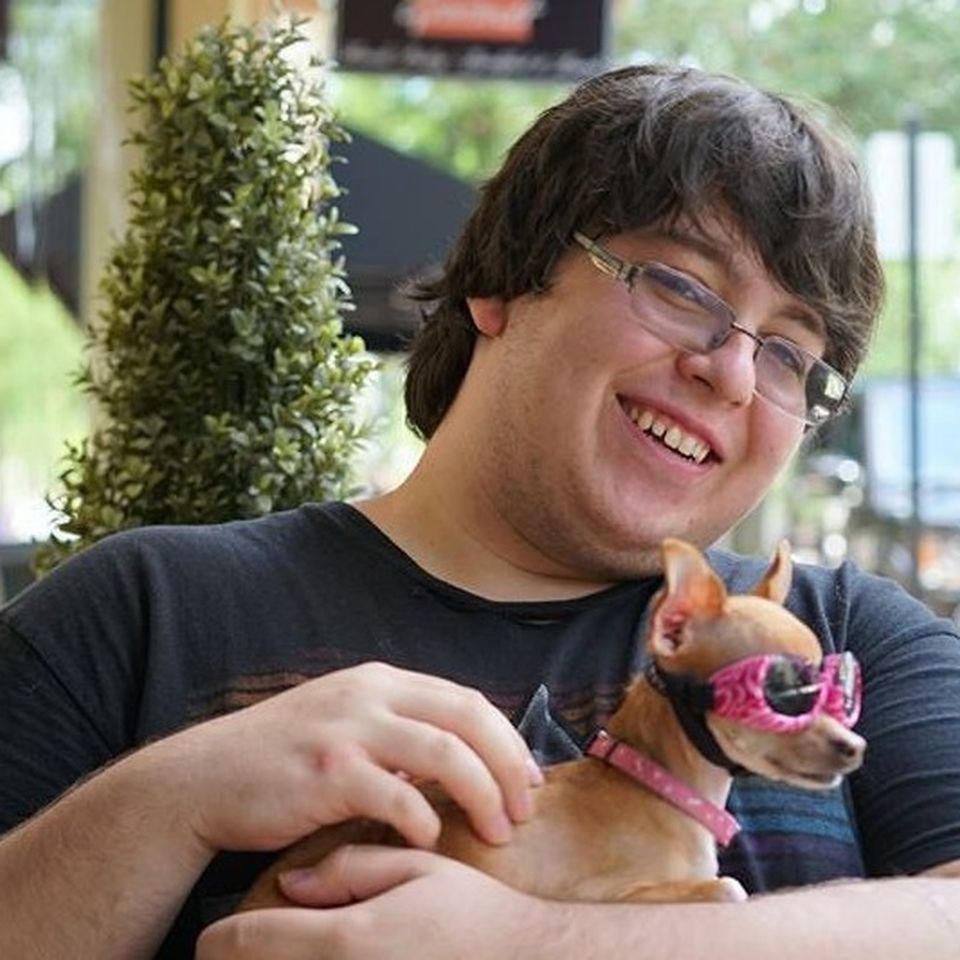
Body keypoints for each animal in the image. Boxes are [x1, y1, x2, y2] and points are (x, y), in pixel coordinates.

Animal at [240, 538, 865, 908]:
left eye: (841, 694)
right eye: (785, 695)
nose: (854, 746)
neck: (657, 786)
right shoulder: (604, 896)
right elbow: (729, 887)